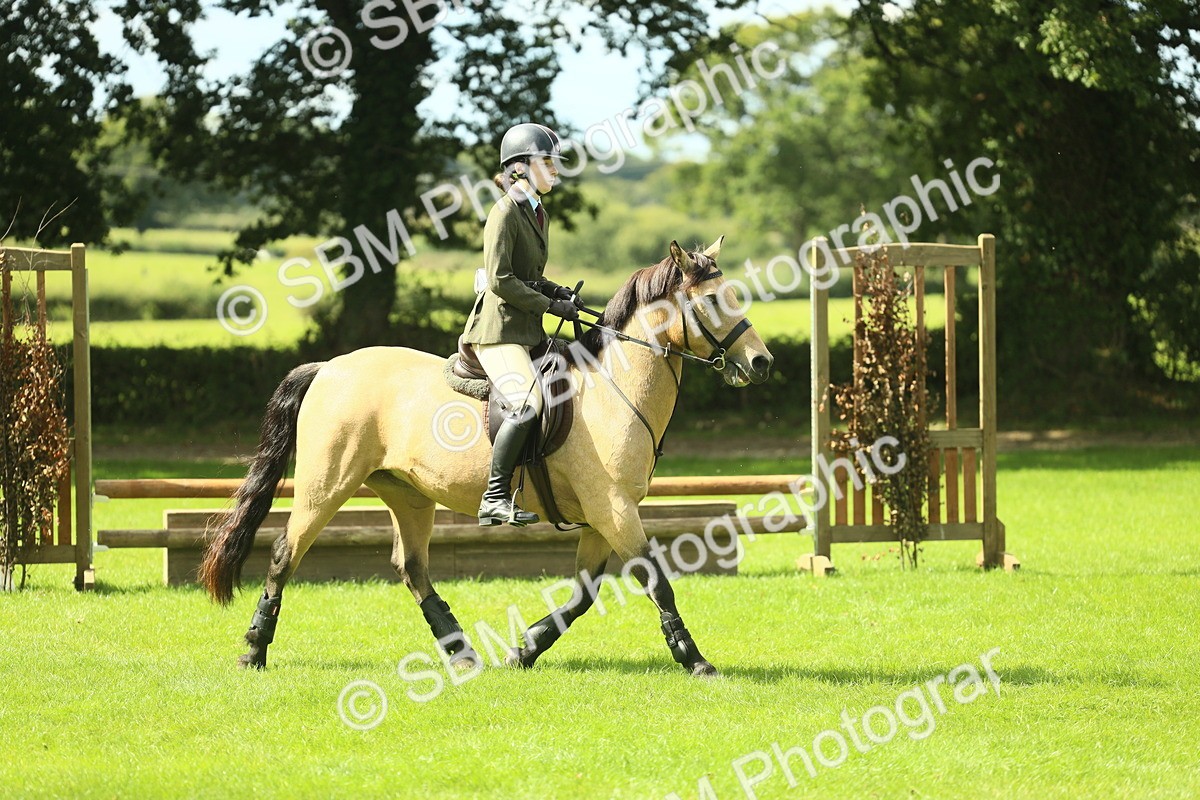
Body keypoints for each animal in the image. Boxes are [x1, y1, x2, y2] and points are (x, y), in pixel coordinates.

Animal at [199, 237, 774, 677]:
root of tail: (329, 367)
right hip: (327, 484)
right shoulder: (614, 509)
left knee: (412, 569)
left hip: (408, 495)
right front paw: (695, 659)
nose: (762, 364)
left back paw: (462, 654)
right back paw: (254, 651)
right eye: (714, 301)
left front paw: (525, 650)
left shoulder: (601, 517)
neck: (616, 387)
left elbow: (582, 596)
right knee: (284, 554)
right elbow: (657, 582)